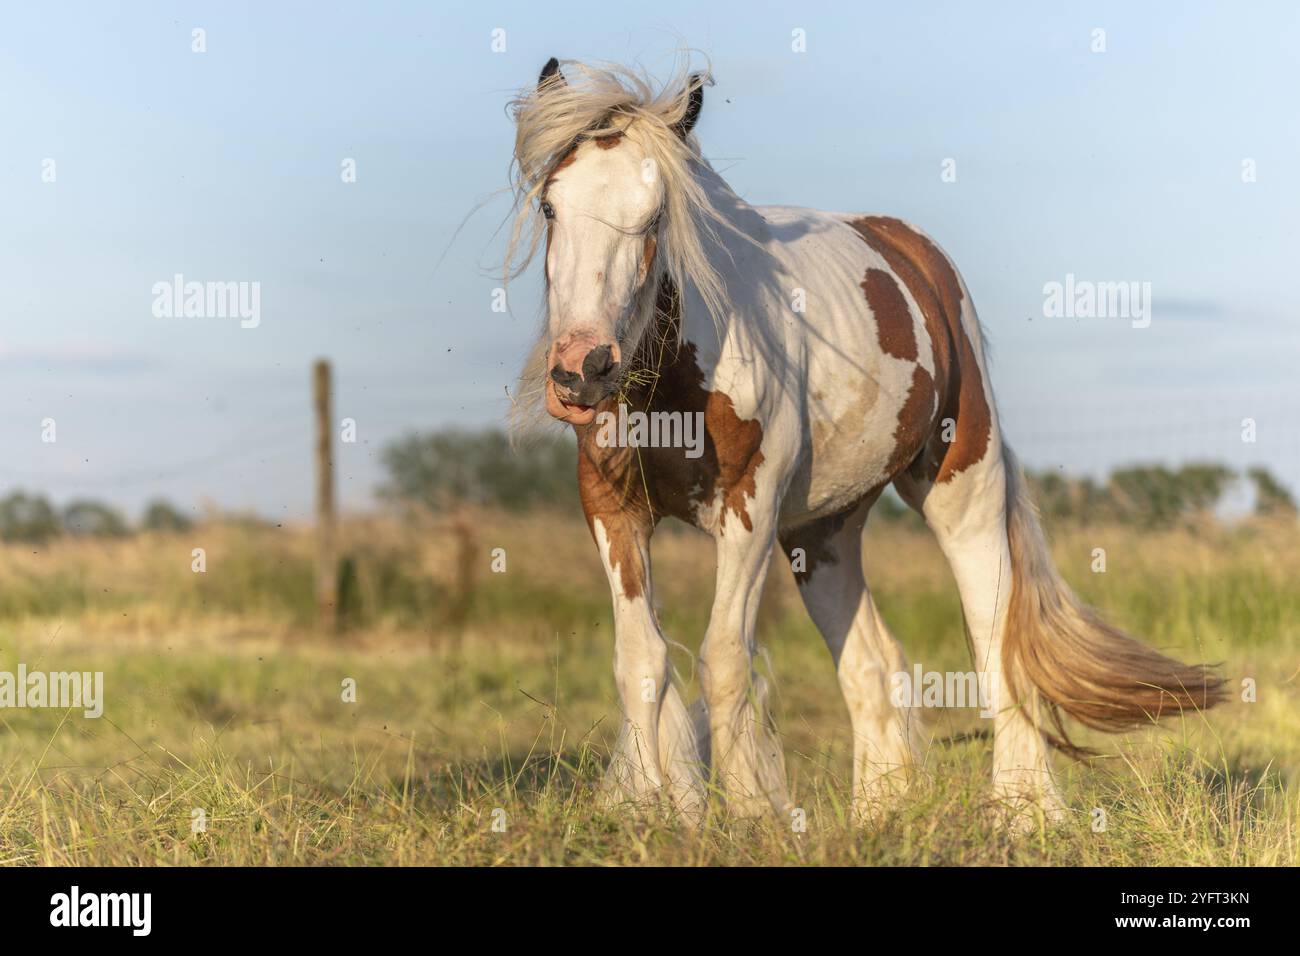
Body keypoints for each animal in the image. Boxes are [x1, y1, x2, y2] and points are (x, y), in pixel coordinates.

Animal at [504, 57, 1216, 822]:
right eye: (551, 207)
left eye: (656, 216)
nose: (582, 368)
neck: (676, 375)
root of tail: (917, 256)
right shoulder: (614, 510)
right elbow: (641, 662)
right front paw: (660, 814)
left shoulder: (749, 509)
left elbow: (723, 660)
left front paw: (753, 816)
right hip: (824, 533)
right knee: (873, 660)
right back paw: (881, 812)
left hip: (962, 490)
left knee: (995, 642)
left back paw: (1026, 811)